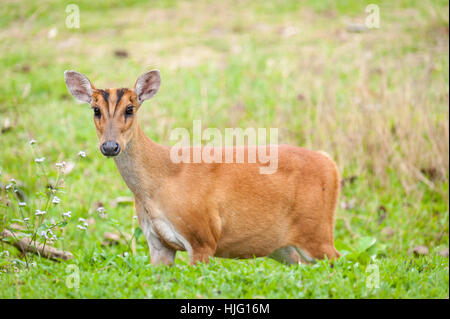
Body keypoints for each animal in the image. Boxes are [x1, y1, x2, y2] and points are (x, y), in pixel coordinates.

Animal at [64, 70, 342, 268]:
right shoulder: (157, 244)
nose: (110, 146)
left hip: (317, 231)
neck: (157, 184)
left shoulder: (202, 236)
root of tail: (331, 164)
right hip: (286, 248)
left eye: (130, 109)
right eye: (95, 110)